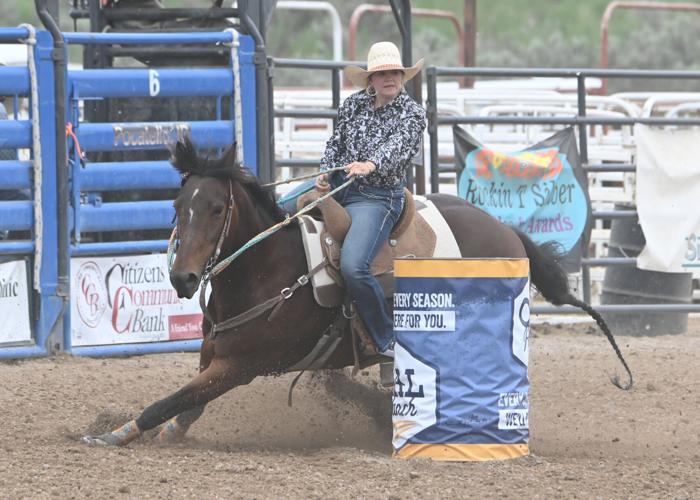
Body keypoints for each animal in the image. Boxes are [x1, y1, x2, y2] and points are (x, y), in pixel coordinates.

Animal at [82, 139, 636, 448]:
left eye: (217, 209)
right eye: (179, 205)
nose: (182, 279)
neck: (267, 268)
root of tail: (506, 231)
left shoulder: (240, 366)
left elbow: (166, 402)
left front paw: (113, 434)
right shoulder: (212, 356)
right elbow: (185, 407)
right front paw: (155, 434)